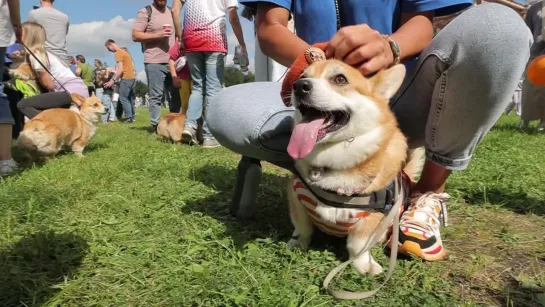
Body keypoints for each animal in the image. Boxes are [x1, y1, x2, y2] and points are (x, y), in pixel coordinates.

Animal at [286, 59, 422, 274]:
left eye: (340, 79)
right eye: (302, 76)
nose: (299, 86)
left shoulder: (373, 217)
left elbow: (357, 245)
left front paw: (363, 265)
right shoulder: (295, 196)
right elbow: (302, 227)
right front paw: (298, 244)